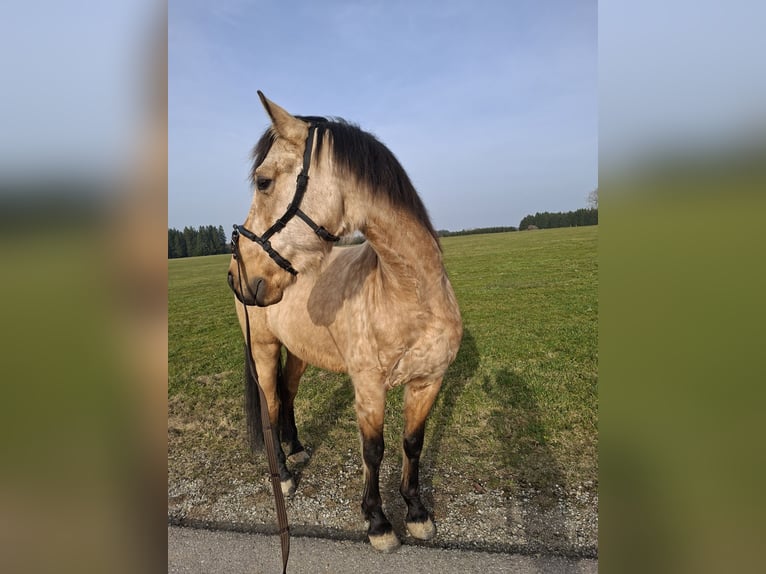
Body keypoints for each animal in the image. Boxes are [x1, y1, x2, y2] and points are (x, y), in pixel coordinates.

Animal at [227, 92, 463, 552]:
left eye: (263, 182)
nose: (237, 274)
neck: (409, 295)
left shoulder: (428, 382)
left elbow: (413, 443)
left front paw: (417, 512)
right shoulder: (369, 387)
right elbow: (374, 449)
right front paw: (378, 522)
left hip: (299, 352)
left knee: (287, 394)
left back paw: (297, 449)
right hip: (263, 349)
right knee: (271, 404)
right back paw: (284, 476)